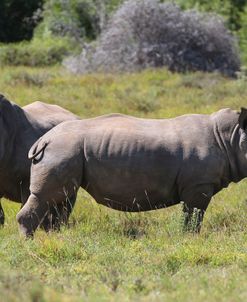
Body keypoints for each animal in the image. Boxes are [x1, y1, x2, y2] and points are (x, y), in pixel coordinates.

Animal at [16, 107, 247, 237]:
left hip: (65, 151)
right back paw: (29, 242)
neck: (230, 137)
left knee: (60, 200)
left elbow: (192, 215)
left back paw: (56, 239)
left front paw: (188, 237)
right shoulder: (199, 185)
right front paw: (191, 238)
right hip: (62, 148)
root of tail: (43, 139)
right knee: (46, 197)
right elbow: (195, 215)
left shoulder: (197, 186)